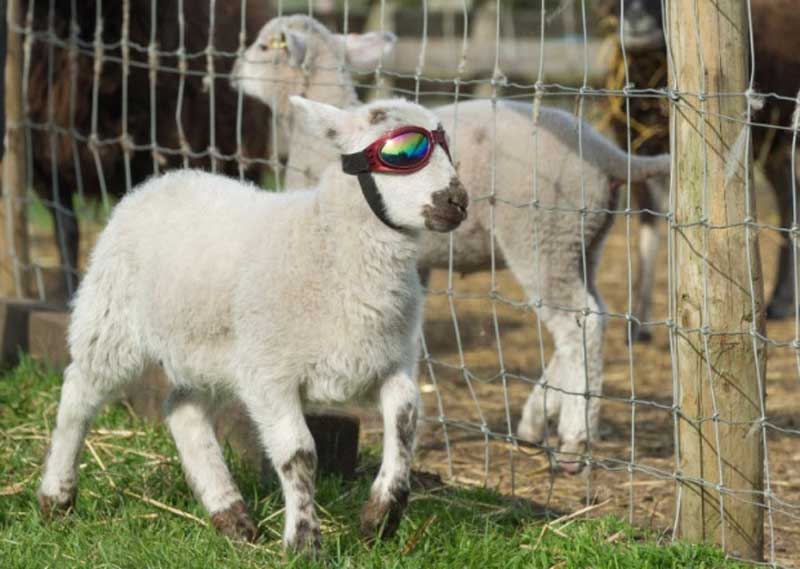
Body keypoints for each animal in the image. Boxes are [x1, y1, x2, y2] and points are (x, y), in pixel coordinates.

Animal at [37, 96, 468, 552]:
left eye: (446, 146)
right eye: (400, 153)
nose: (458, 200)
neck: (329, 245)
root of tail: (162, 179)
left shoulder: (388, 361)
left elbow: (405, 420)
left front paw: (381, 518)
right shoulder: (270, 374)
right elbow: (299, 454)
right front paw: (304, 542)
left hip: (213, 352)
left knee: (182, 409)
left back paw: (231, 516)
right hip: (112, 321)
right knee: (78, 394)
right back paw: (56, 498)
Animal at [232, 14, 671, 473]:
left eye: (264, 46)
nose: (235, 73)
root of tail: (608, 155)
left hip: (542, 236)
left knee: (578, 324)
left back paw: (573, 439)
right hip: (583, 241)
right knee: (593, 314)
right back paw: (538, 417)